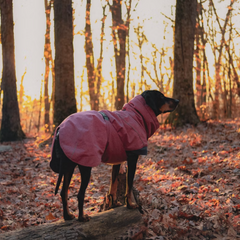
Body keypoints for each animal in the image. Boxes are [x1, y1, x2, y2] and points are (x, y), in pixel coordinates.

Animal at [50, 90, 178, 221]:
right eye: (161, 97)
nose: (177, 101)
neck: (137, 115)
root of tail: (60, 130)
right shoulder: (132, 159)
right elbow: (129, 185)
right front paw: (130, 204)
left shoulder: (117, 161)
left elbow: (113, 184)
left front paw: (114, 203)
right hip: (85, 164)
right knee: (80, 194)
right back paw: (82, 217)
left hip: (68, 165)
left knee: (63, 191)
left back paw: (67, 216)